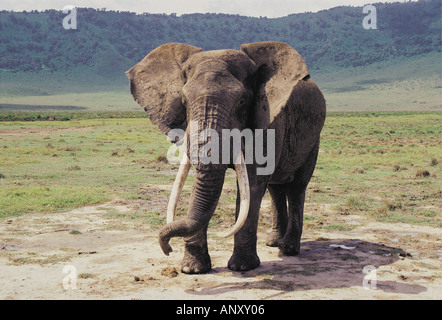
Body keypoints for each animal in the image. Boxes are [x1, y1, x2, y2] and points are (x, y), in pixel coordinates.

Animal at [126, 41, 326, 274]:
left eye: (242, 102)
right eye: (184, 101)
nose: (167, 249)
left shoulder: (269, 120)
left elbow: (253, 183)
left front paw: (242, 267)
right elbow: (198, 184)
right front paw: (192, 270)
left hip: (313, 139)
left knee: (296, 188)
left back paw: (288, 249)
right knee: (275, 189)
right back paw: (273, 243)